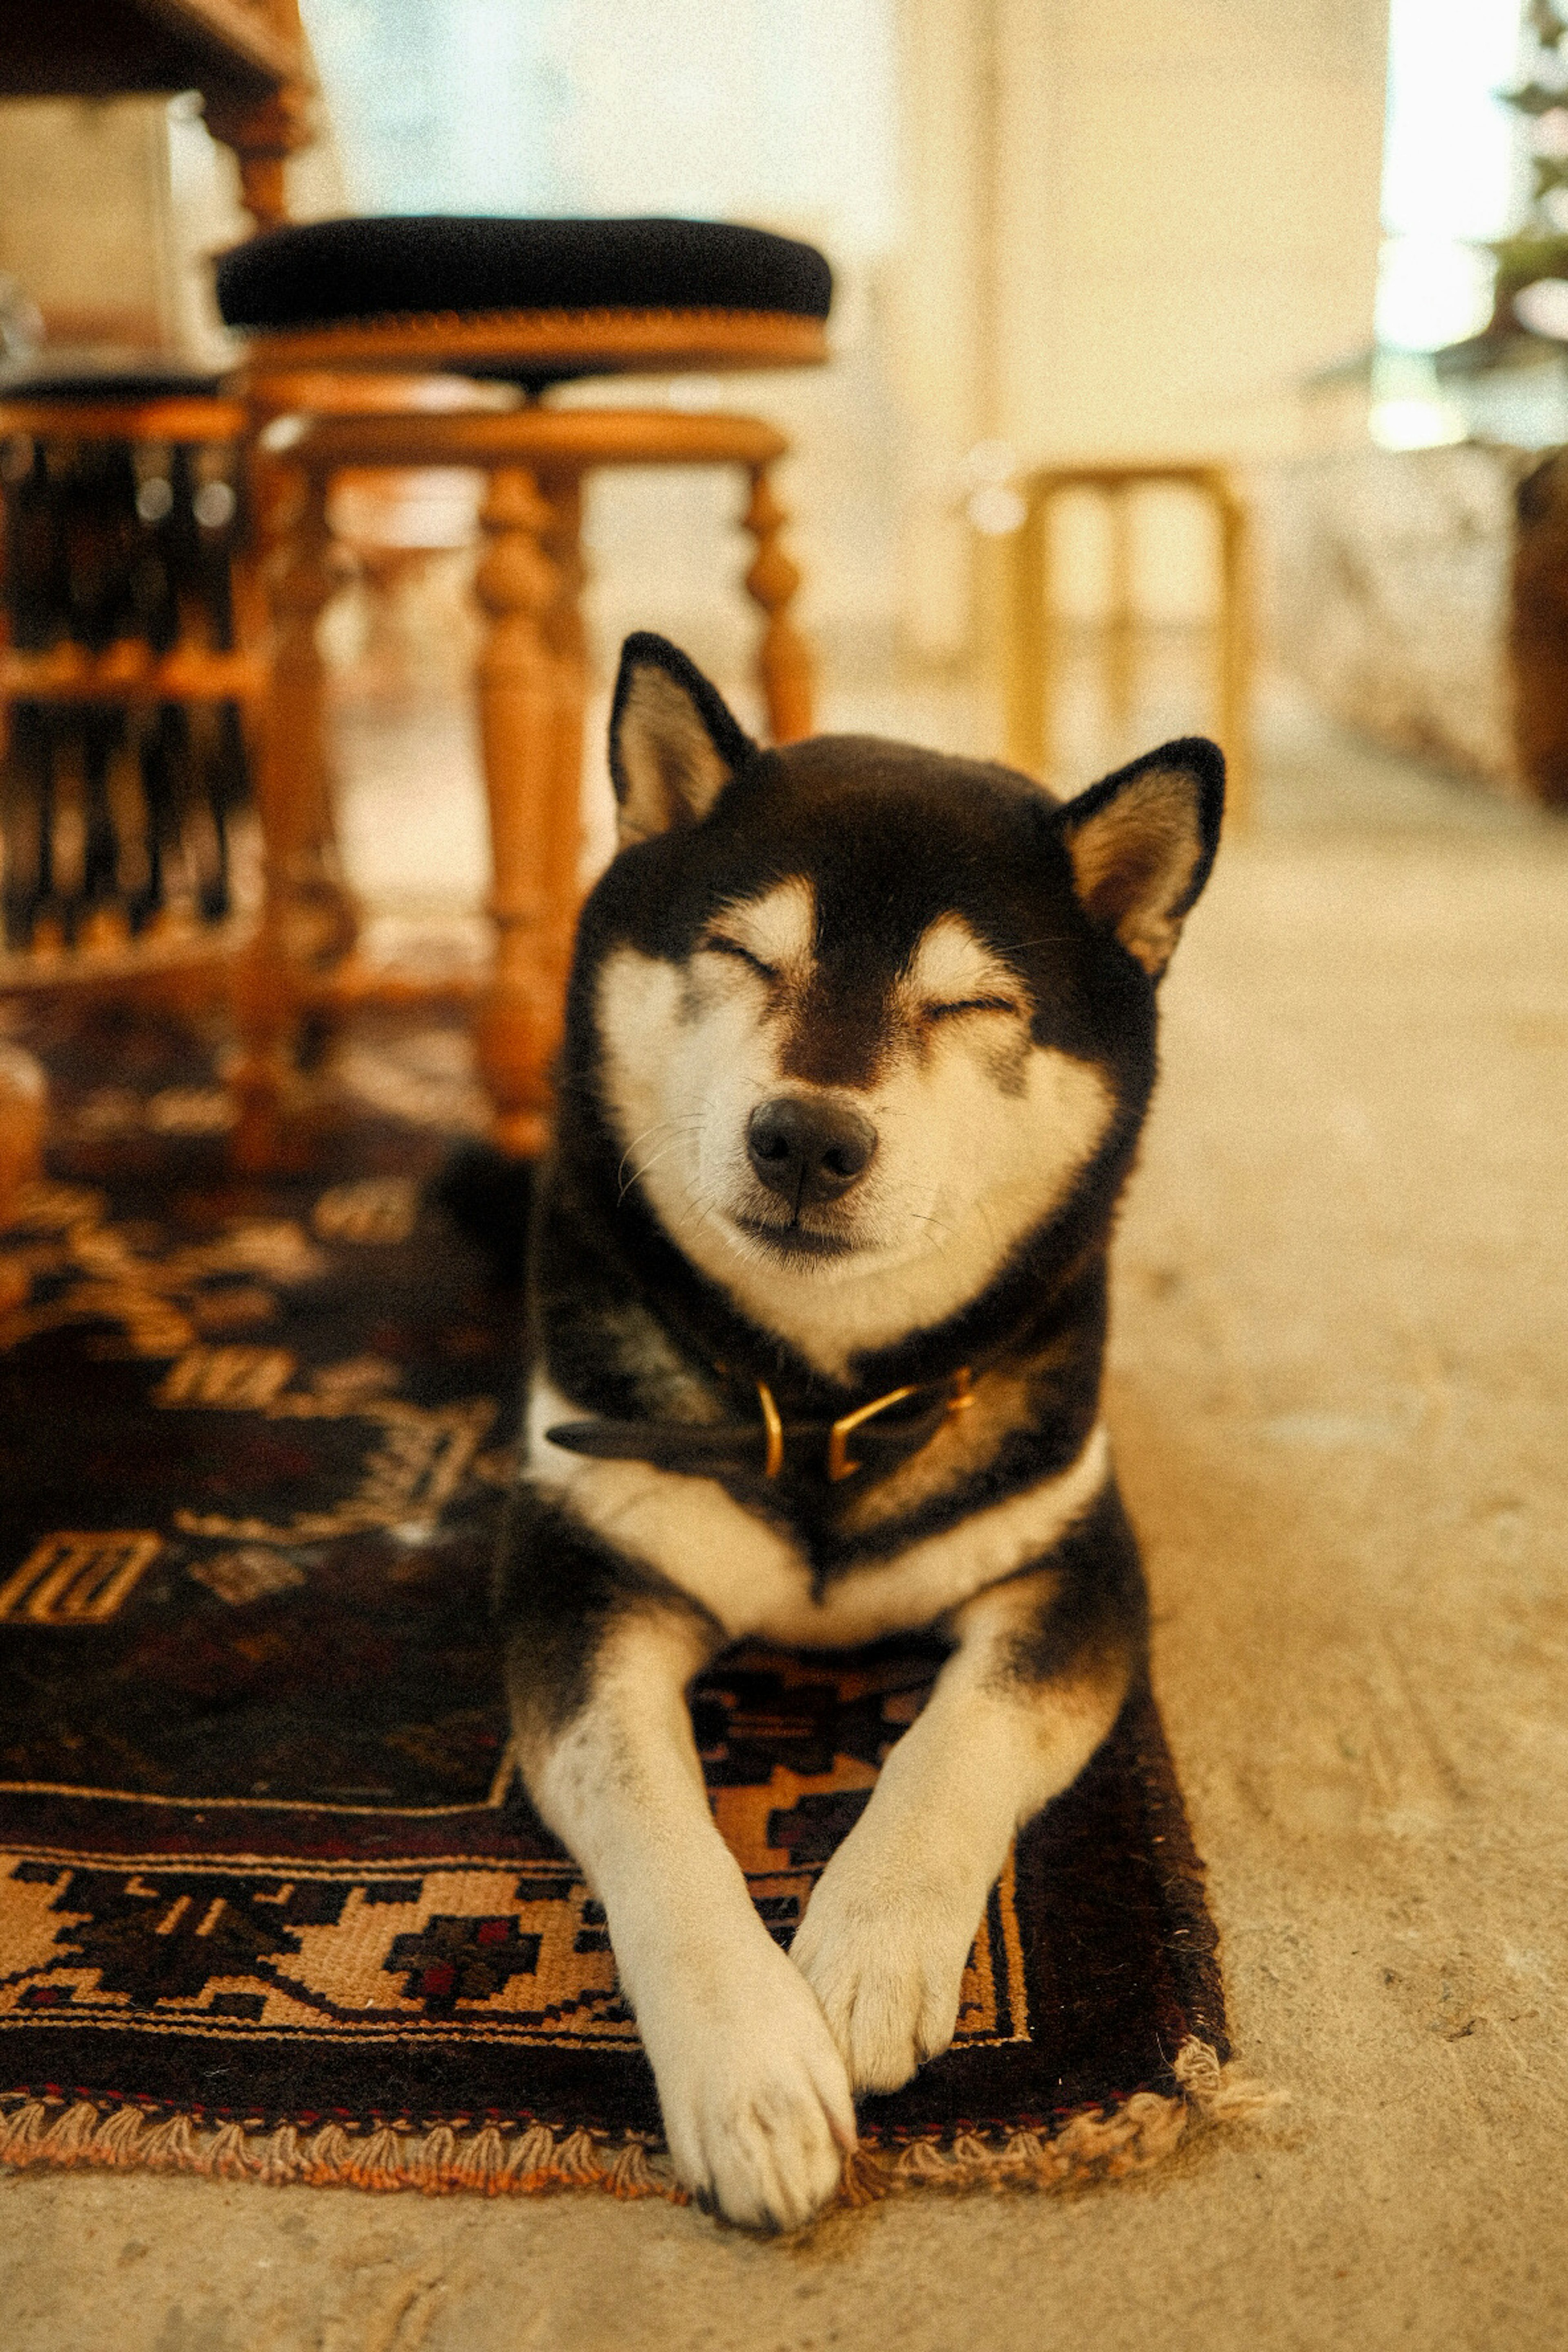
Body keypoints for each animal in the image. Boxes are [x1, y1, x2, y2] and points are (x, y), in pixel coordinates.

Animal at [493, 635, 1222, 2230]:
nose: (807, 1140)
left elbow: (958, 1736)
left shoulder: (1071, 1564)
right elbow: (653, 1810)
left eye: (970, 1008)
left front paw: (867, 1953)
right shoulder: (587, 1572)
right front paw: (752, 2071)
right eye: (743, 956)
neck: (820, 1403)